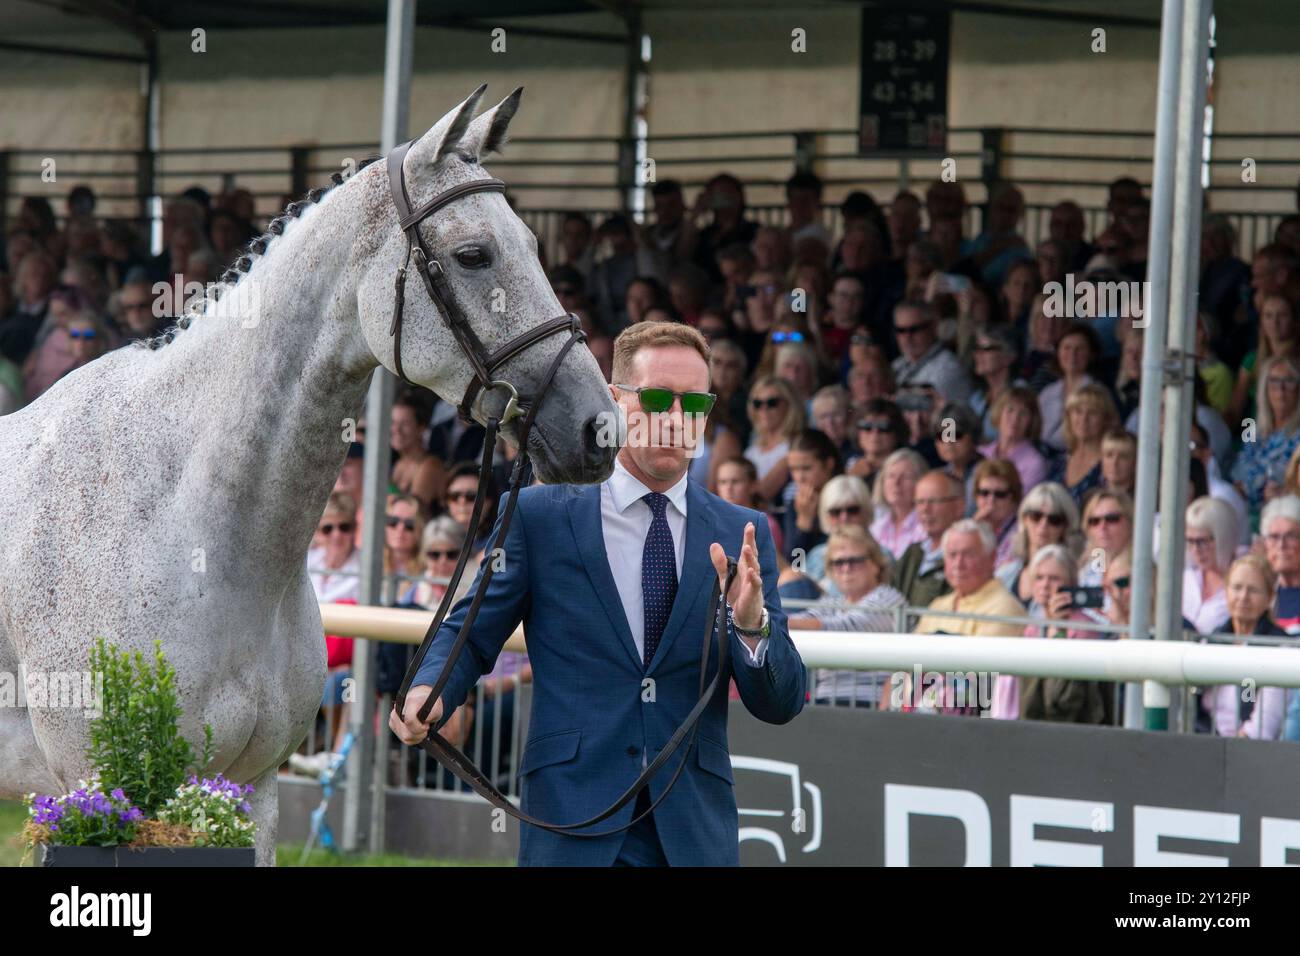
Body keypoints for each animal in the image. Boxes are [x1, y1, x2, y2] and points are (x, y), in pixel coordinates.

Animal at [0, 89, 616, 863]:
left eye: (536, 247)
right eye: (473, 255)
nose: (599, 428)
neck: (181, 520)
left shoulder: (252, 791)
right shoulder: (100, 791)